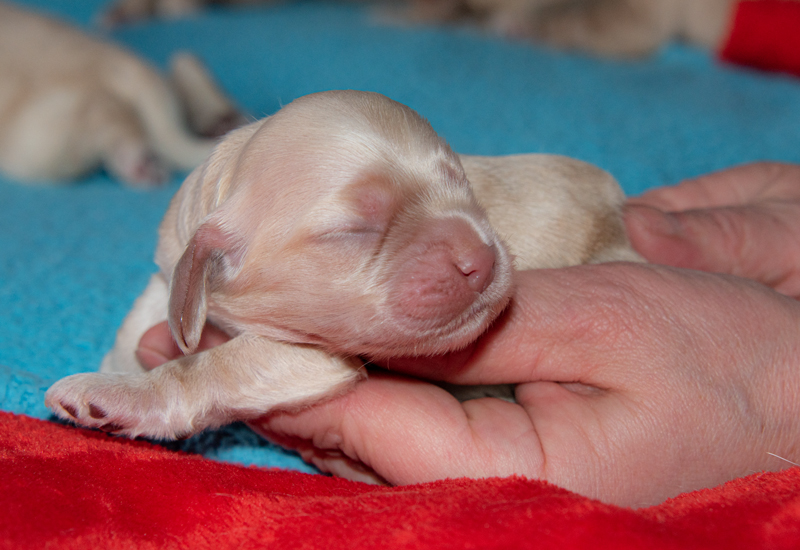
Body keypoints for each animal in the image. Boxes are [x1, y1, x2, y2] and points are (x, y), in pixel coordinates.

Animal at [0, 1, 244, 188]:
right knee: (184, 68)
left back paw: (139, 165)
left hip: (40, 140)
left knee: (108, 119)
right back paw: (221, 118)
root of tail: (123, 63)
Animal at [45, 91, 644, 444]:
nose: (481, 256)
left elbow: (214, 365)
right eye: (355, 230)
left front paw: (117, 395)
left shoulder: (309, 354)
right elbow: (145, 312)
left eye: (461, 184)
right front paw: (120, 362)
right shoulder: (173, 255)